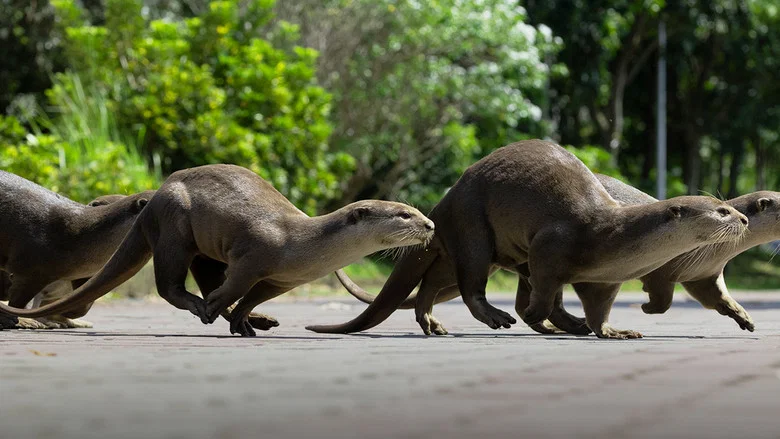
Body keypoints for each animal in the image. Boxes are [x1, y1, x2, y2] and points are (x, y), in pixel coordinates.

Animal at [306, 140, 748, 339]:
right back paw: (502, 317)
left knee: (433, 282)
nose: (743, 218)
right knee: (472, 284)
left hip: (472, 248)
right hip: (473, 228)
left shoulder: (604, 280)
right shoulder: (551, 244)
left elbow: (598, 308)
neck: (611, 235)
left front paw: (610, 330)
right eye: (721, 211)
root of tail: (442, 204)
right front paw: (539, 315)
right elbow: (546, 286)